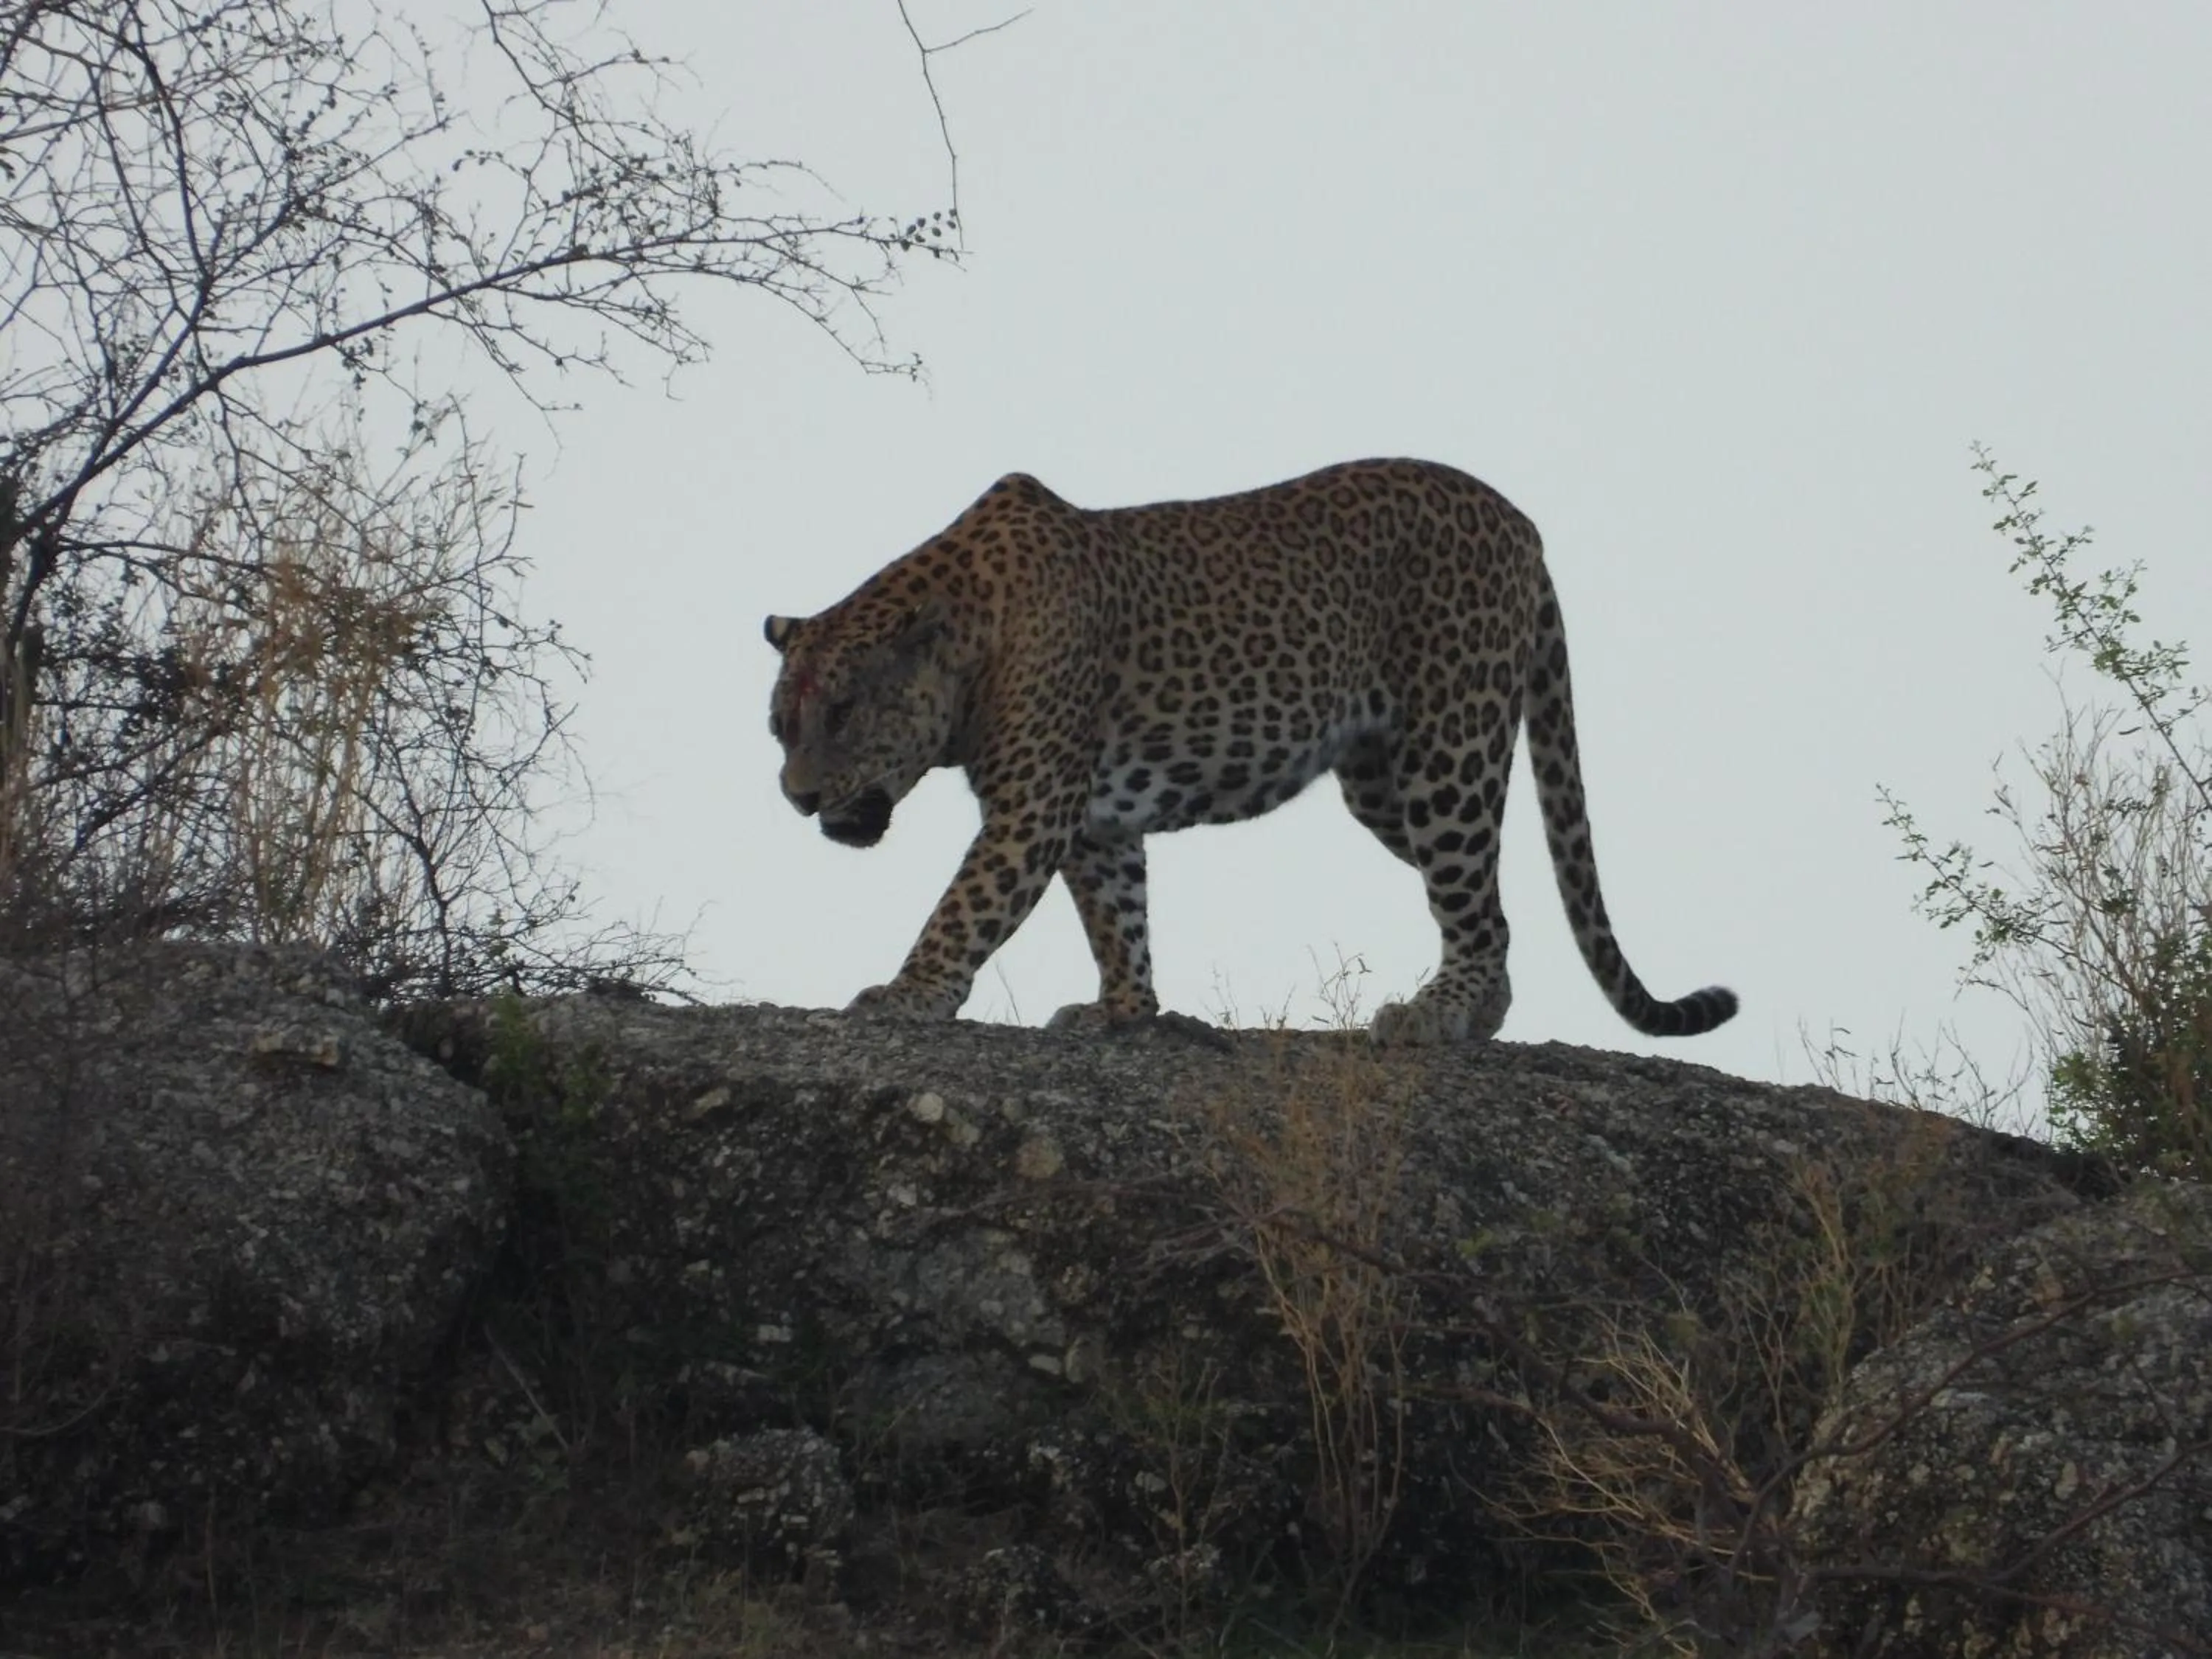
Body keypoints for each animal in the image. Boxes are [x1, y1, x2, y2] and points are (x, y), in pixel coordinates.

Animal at [763, 457, 1736, 1046]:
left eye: (843, 713)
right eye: (782, 725)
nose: (798, 796)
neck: (969, 633)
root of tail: (1521, 523)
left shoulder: (1034, 806)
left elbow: (964, 908)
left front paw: (907, 995)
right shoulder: (1093, 819)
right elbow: (1118, 915)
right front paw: (1125, 1011)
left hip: (1450, 751)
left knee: (1475, 903)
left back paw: (1443, 1014)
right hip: (1385, 783)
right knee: (1486, 902)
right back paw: (1474, 1008)